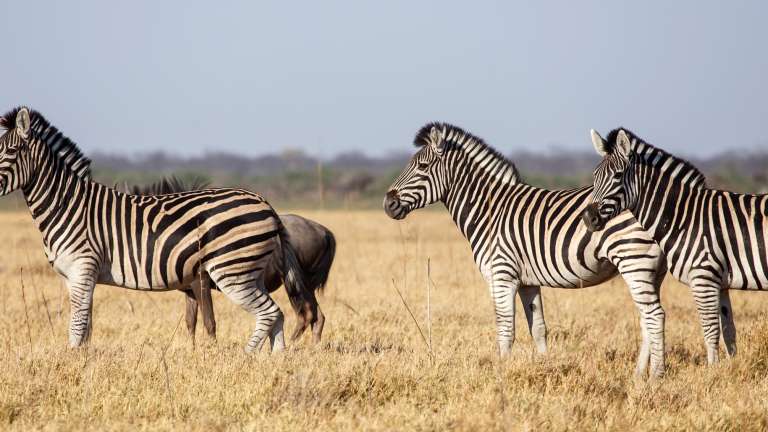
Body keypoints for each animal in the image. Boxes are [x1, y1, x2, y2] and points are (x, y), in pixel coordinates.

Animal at [0, 107, 301, 353]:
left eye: (10, 152)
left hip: (231, 271)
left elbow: (77, 325)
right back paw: (276, 361)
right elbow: (85, 325)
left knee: (268, 313)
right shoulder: (73, 275)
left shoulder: (83, 268)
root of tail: (266, 203)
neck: (67, 205)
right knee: (277, 315)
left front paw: (73, 362)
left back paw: (245, 358)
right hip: (251, 271)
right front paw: (83, 361)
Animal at [130, 177, 335, 345]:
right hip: (306, 283)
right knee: (318, 317)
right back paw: (312, 347)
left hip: (294, 282)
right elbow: (190, 322)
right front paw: (192, 350)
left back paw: (292, 345)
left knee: (307, 314)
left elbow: (206, 320)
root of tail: (324, 230)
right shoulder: (189, 289)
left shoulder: (199, 281)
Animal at [384, 122, 669, 377]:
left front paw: (501, 373)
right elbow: (538, 327)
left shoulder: (501, 275)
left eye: (422, 167)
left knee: (654, 316)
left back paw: (654, 376)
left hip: (634, 261)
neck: (489, 211)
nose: (388, 204)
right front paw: (546, 367)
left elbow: (505, 328)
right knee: (646, 318)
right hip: (651, 270)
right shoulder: (527, 282)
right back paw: (638, 374)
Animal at [583, 128, 745, 364]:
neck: (686, 214)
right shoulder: (720, 280)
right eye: (595, 176)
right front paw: (731, 367)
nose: (588, 218)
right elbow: (728, 329)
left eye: (618, 176)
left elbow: (711, 330)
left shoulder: (704, 276)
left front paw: (714, 370)